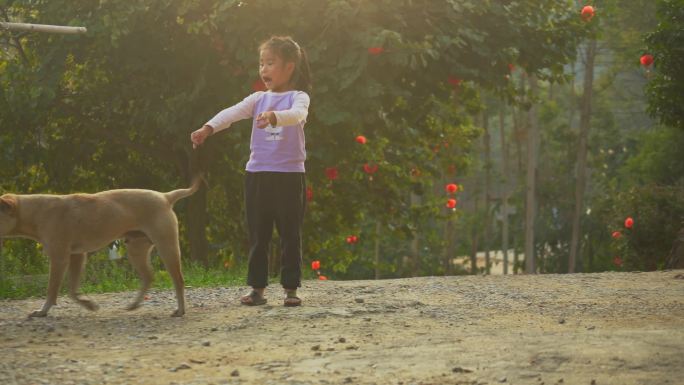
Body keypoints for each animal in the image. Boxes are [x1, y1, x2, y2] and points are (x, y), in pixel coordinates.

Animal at [0, 178, 202, 316]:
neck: (36, 211)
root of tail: (165, 196)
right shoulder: (77, 256)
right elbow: (72, 290)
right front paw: (88, 304)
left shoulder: (59, 258)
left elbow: (52, 290)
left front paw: (43, 311)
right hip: (136, 250)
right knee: (148, 277)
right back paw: (134, 304)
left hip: (167, 246)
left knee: (178, 280)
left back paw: (180, 310)